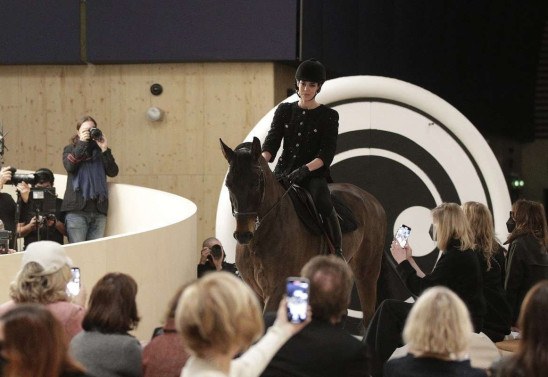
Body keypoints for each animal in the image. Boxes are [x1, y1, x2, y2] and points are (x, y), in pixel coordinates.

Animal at [219, 137, 386, 324]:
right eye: (228, 184)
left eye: (256, 182)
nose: (243, 235)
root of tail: (372, 200)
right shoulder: (253, 291)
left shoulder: (276, 290)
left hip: (367, 273)